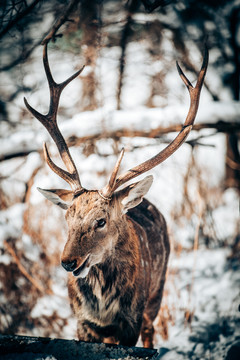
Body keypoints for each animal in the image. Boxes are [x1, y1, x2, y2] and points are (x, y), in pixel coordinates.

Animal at [24, 43, 208, 348]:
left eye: (101, 221)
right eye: (67, 219)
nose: (67, 262)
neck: (103, 308)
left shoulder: (131, 321)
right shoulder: (82, 322)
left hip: (156, 293)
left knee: (151, 331)